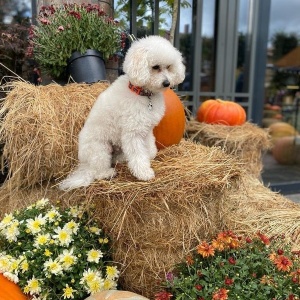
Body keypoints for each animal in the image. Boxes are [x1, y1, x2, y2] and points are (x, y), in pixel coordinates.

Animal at [58, 35, 185, 190]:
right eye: (155, 67)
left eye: (169, 67)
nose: (167, 83)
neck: (142, 93)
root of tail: (84, 164)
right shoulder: (133, 133)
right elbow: (138, 154)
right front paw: (144, 173)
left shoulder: (147, 129)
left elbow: (149, 148)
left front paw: (149, 156)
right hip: (100, 149)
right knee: (97, 171)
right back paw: (107, 173)